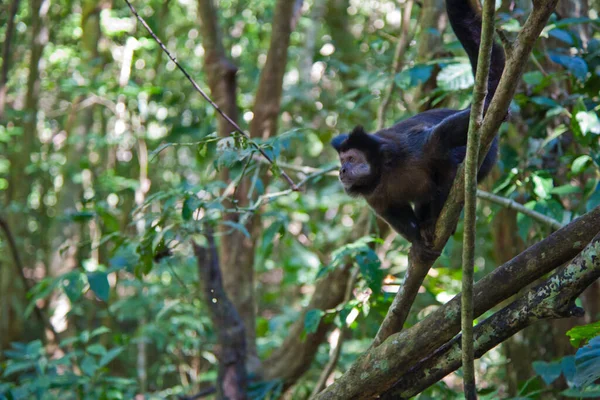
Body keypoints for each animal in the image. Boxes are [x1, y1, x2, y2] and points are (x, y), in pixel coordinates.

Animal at [330, 0, 504, 262]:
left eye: (351, 159)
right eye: (342, 160)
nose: (341, 170)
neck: (385, 170)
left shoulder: (413, 148)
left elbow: (441, 144)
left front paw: (432, 221)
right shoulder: (374, 195)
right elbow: (390, 214)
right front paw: (417, 240)